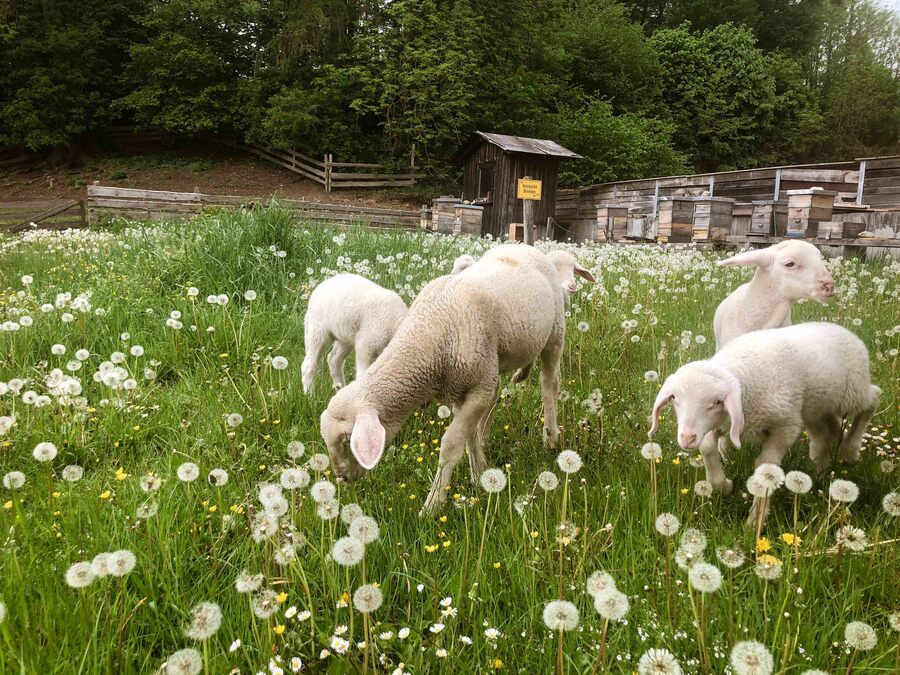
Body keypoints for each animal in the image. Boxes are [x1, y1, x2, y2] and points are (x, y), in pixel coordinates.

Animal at [324, 242, 592, 512]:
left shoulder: (477, 388)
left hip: (554, 333)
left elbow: (451, 444)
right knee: (498, 393)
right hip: (498, 357)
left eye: (347, 440)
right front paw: (480, 472)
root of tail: (524, 246)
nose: (342, 477)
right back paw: (489, 434)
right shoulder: (459, 388)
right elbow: (468, 434)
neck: (427, 338)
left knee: (549, 384)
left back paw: (551, 437)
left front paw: (433, 505)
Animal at [644, 322, 884, 524]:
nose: (686, 438)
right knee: (824, 435)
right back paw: (820, 471)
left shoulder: (786, 426)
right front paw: (723, 485)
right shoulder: (720, 424)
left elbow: (765, 468)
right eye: (674, 398)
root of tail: (844, 330)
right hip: (814, 407)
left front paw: (755, 521)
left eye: (717, 402)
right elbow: (707, 447)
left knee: (872, 399)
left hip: (851, 392)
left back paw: (851, 449)